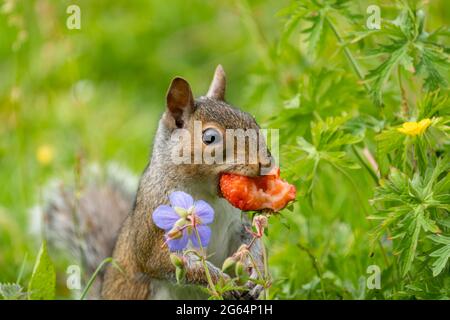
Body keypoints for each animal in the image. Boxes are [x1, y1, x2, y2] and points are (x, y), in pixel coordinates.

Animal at [38, 65, 270, 300]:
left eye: (254, 122)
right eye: (210, 138)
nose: (265, 162)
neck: (207, 194)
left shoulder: (235, 225)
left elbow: (248, 244)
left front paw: (257, 275)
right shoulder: (156, 227)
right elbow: (166, 260)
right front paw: (223, 282)